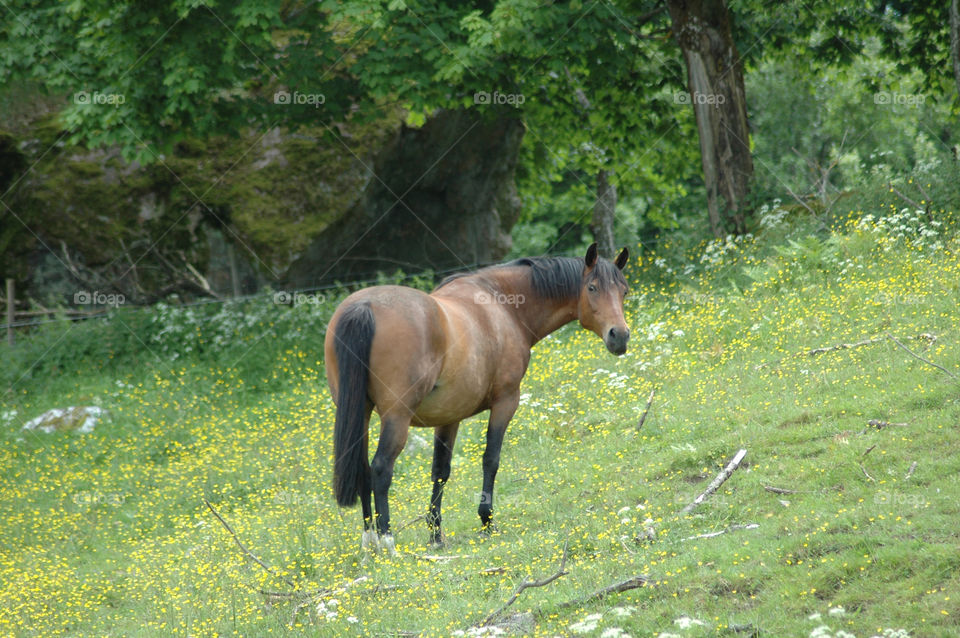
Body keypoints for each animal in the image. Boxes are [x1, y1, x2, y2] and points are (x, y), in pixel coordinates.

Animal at [325, 243, 630, 552]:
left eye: (624, 291)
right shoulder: (506, 402)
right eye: (592, 288)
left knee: (363, 469)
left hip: (361, 412)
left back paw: (369, 541)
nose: (620, 336)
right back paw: (387, 541)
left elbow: (440, 470)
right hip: (396, 418)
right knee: (380, 469)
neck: (503, 304)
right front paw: (487, 520)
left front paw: (436, 534)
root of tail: (364, 307)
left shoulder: (449, 416)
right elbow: (490, 459)